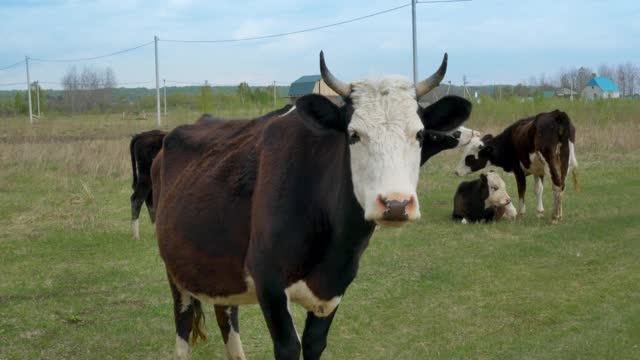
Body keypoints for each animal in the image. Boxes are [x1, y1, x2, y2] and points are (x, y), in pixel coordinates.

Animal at [149, 52, 470, 358]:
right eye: (354, 135)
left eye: (419, 134)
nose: (396, 204)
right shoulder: (269, 281)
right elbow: (289, 347)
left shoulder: (336, 287)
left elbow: (315, 343)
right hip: (174, 270)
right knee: (183, 322)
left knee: (226, 316)